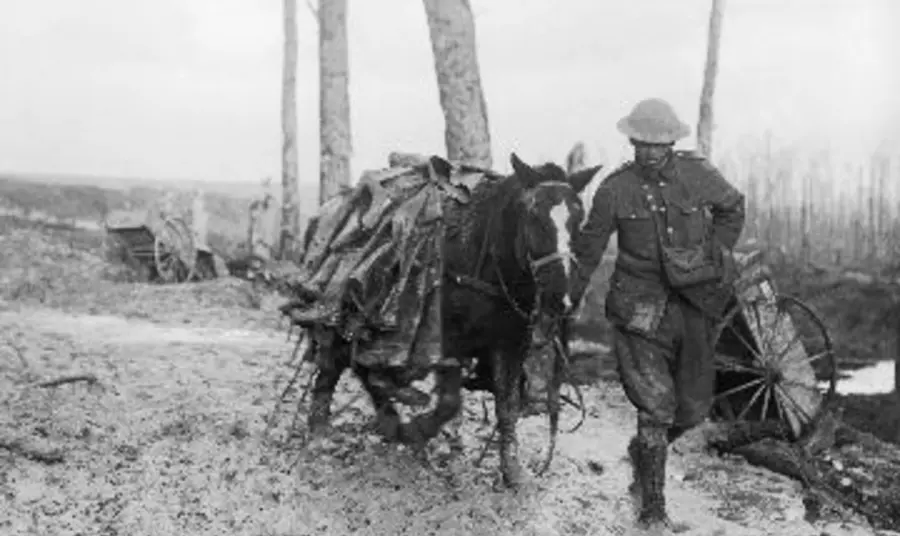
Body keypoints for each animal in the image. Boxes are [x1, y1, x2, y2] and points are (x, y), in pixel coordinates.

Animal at [280, 152, 604, 486]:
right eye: (535, 217)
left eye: (579, 219)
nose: (562, 299)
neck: (480, 255)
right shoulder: (445, 343)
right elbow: (449, 402)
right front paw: (419, 430)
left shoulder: (508, 346)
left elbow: (507, 405)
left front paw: (512, 472)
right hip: (336, 316)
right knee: (332, 366)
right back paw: (320, 435)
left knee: (362, 370)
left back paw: (387, 420)